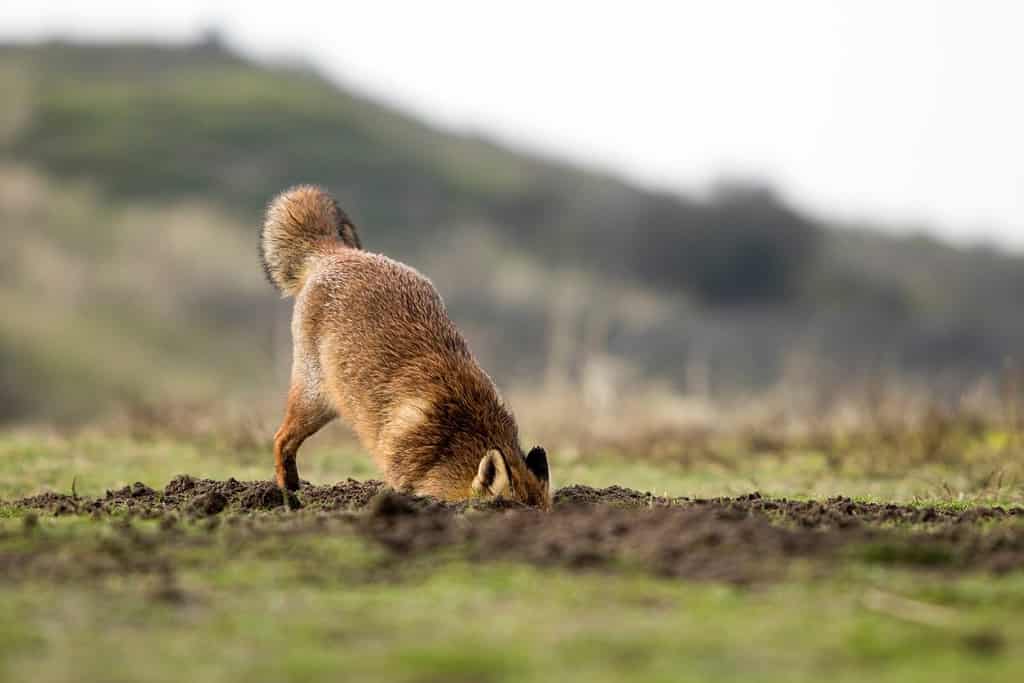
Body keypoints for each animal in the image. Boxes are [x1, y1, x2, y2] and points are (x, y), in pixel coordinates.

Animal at [262, 187, 552, 507]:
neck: (454, 436)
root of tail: (337, 253)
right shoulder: (401, 476)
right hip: (315, 401)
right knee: (281, 439)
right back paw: (288, 491)